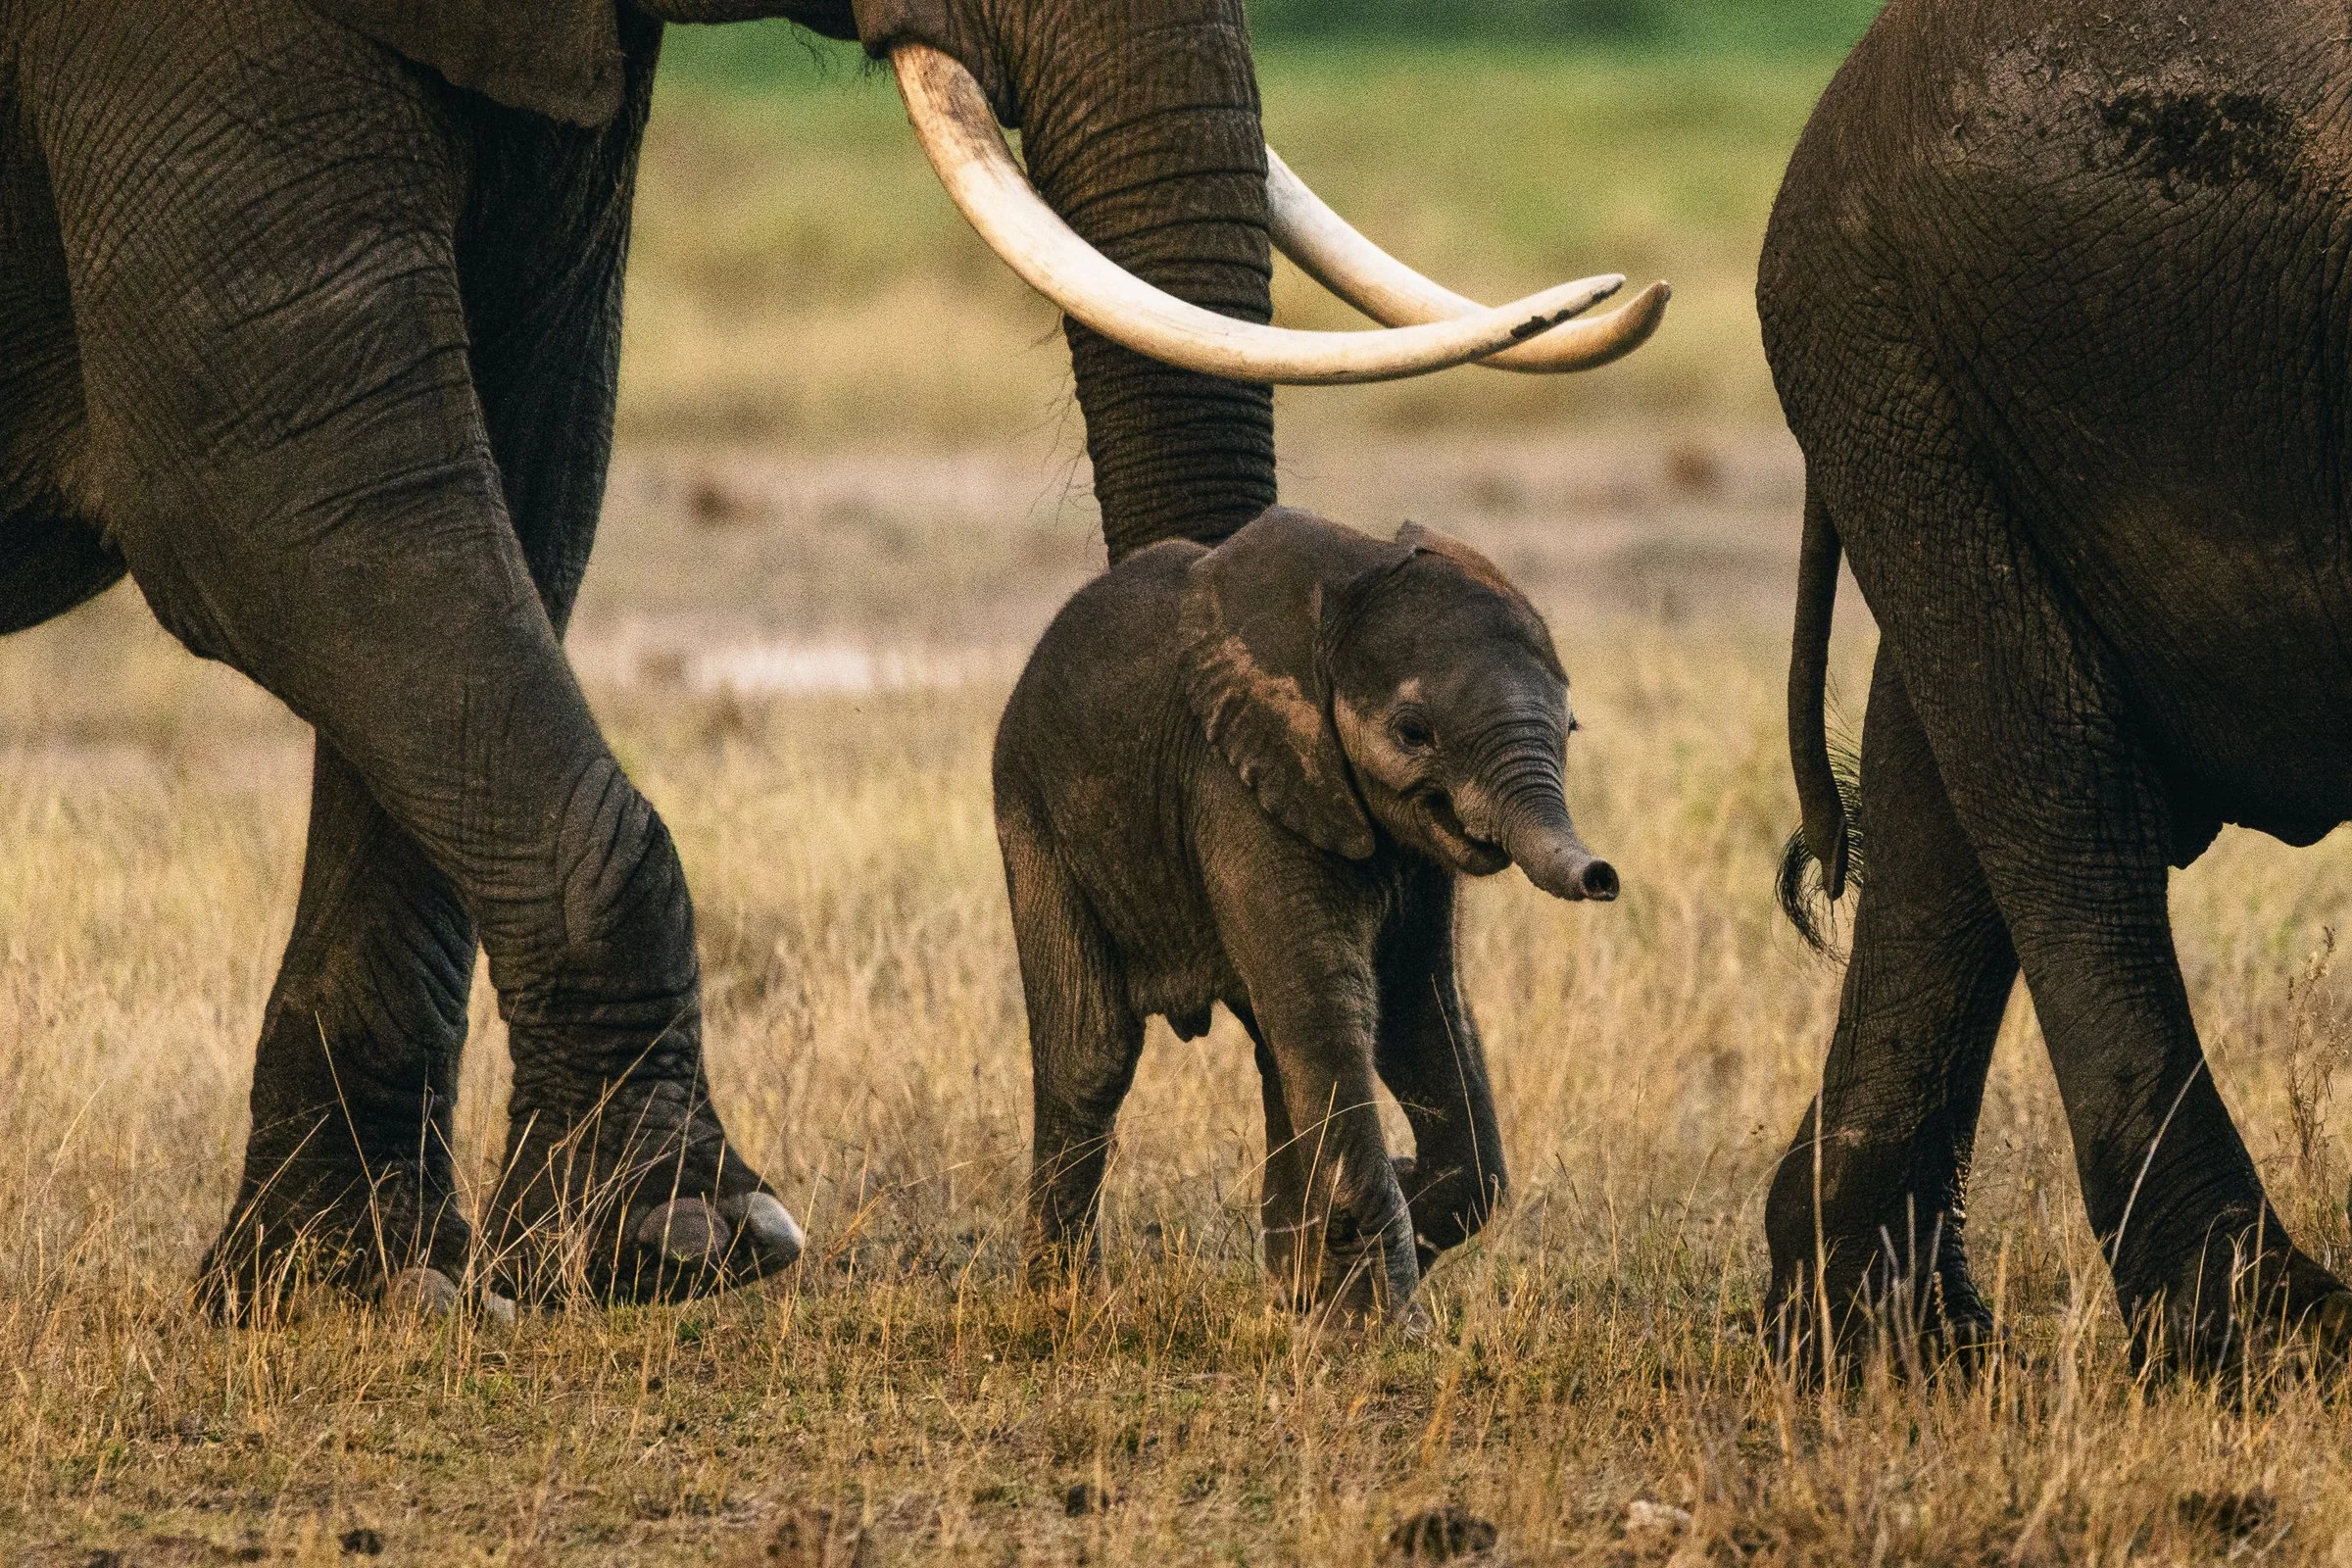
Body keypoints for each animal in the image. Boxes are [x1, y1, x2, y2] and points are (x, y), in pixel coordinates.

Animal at [993, 507, 1617, 1326]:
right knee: (1090, 1052)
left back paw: (1292, 1283)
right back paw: (1061, 1307)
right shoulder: (1236, 780)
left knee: (1272, 1045)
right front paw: (1383, 1324)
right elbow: (1330, 1005)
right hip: (1033, 813)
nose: (1603, 877)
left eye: (1571, 731)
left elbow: (1417, 1008)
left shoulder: (1416, 852)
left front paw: (1376, 1244)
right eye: (1413, 732)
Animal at [1763, 0, 2352, 1365]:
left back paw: (1875, 1334)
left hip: (1945, 403)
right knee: (2064, 786)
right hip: (1901, 367)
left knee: (1937, 785)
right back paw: (2264, 1333)